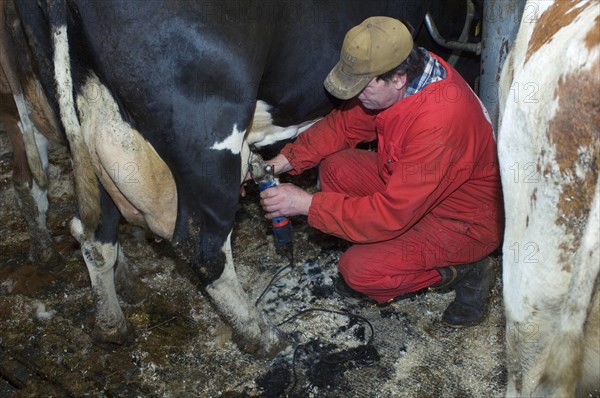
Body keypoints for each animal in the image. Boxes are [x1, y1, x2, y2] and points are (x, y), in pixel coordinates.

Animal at [11, 0, 428, 354]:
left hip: (87, 127)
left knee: (95, 234)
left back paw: (113, 322)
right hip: (209, 130)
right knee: (204, 250)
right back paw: (261, 334)